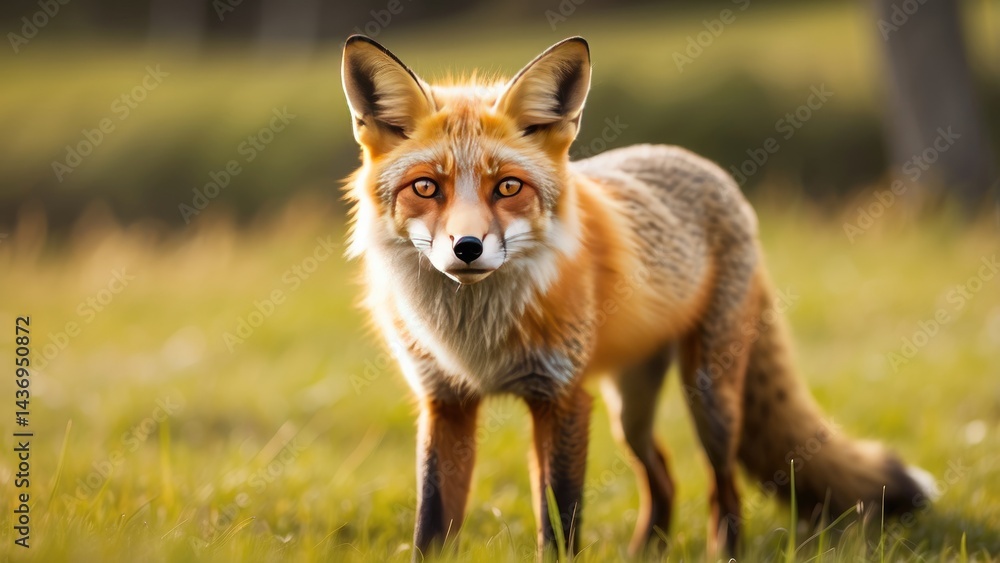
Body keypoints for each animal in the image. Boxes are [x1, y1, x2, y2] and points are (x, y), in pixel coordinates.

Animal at [340, 35, 935, 559]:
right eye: (425, 187)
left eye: (508, 187)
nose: (467, 248)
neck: (473, 335)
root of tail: (698, 163)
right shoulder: (446, 401)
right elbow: (432, 527)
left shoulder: (561, 395)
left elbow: (559, 523)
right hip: (630, 410)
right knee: (664, 476)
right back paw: (647, 549)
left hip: (709, 397)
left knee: (722, 487)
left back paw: (724, 551)